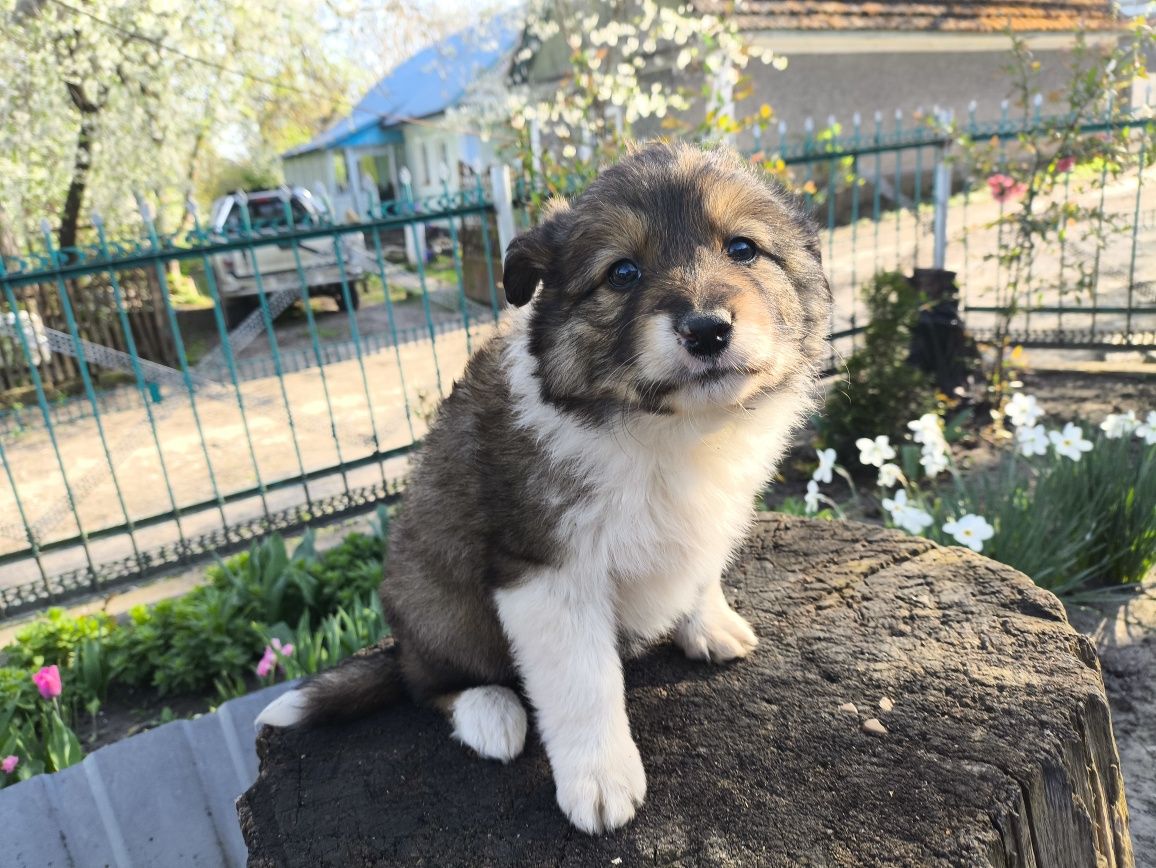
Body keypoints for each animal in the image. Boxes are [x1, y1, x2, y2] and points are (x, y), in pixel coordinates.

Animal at [255, 141, 832, 836]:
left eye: (743, 248)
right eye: (622, 272)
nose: (707, 329)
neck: (663, 428)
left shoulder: (712, 513)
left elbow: (699, 572)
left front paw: (710, 624)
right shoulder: (545, 571)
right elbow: (584, 683)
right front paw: (601, 784)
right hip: (436, 602)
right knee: (427, 682)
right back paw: (488, 714)